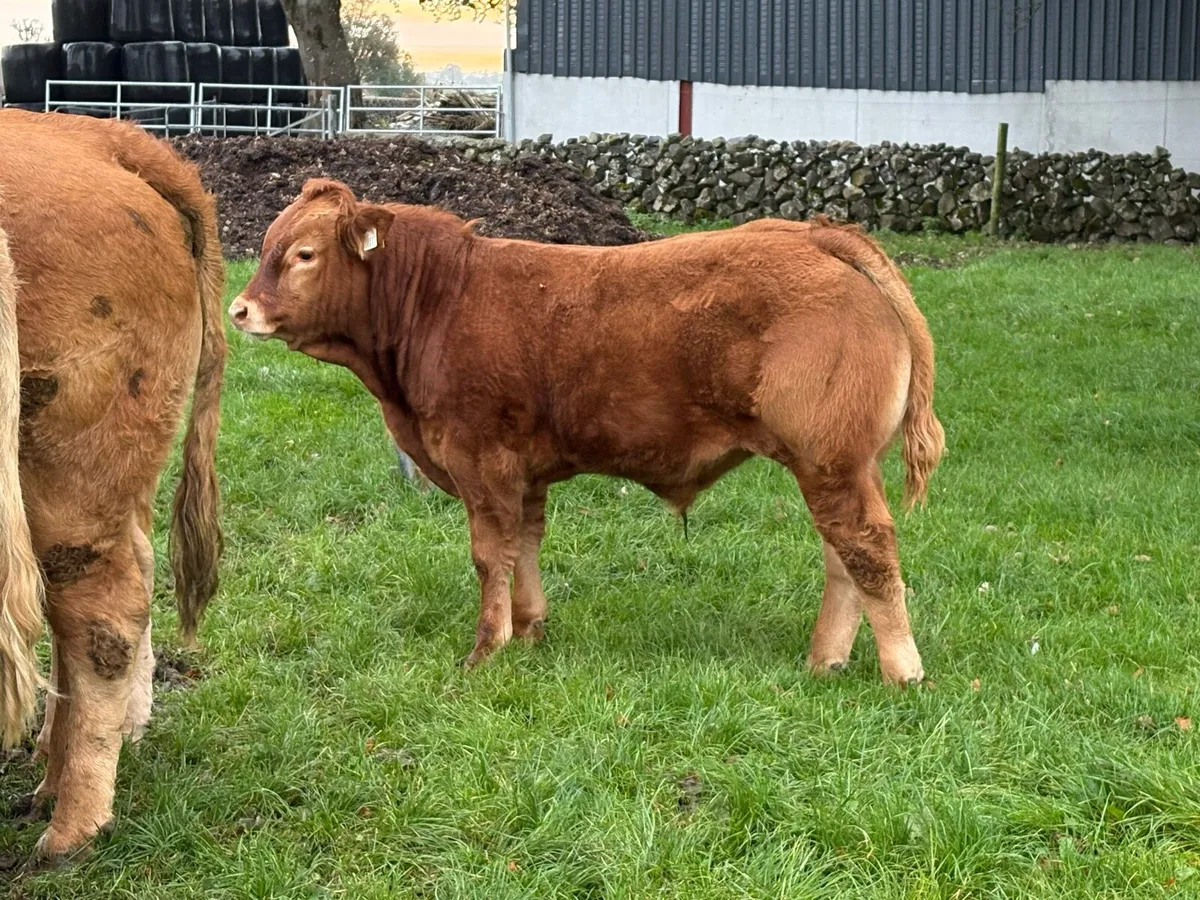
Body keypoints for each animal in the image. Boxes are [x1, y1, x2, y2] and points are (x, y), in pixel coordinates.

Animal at [229, 178, 944, 685]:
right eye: (265, 246)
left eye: (303, 254)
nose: (239, 310)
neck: (437, 301)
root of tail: (810, 235)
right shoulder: (522, 470)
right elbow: (522, 545)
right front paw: (530, 629)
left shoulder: (479, 458)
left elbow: (489, 554)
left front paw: (486, 649)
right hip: (838, 464)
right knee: (841, 555)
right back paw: (826, 661)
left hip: (830, 460)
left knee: (866, 547)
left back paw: (903, 672)